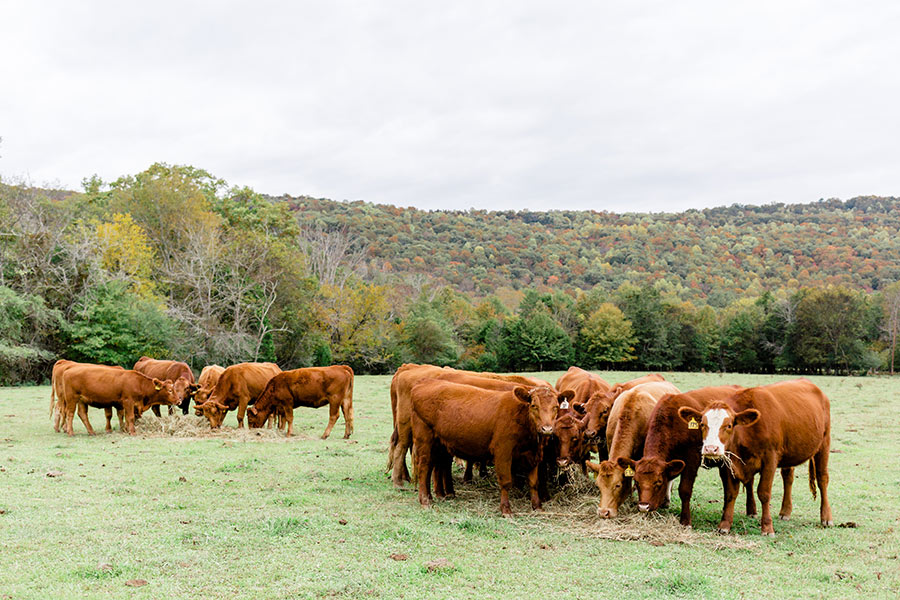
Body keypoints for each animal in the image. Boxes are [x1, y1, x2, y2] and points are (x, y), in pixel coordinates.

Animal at [411, 378, 573, 515]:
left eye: (556, 407)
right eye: (534, 406)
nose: (547, 429)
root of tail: (422, 384)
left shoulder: (533, 455)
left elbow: (534, 482)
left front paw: (537, 506)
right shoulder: (503, 451)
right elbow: (506, 481)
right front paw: (506, 510)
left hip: (439, 444)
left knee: (432, 467)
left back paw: (431, 497)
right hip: (424, 439)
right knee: (424, 466)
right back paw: (424, 501)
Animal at [622, 385, 763, 528]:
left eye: (658, 482)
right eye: (636, 481)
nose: (643, 507)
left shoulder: (691, 462)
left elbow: (684, 490)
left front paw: (685, 521)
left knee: (749, 482)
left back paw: (751, 511)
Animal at [676, 379, 832, 535]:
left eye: (729, 425)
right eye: (702, 424)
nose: (710, 449)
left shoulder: (770, 459)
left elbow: (764, 493)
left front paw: (767, 527)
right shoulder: (730, 462)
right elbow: (730, 493)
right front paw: (724, 525)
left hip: (824, 443)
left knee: (822, 478)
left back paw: (826, 517)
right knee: (788, 476)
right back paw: (785, 512)